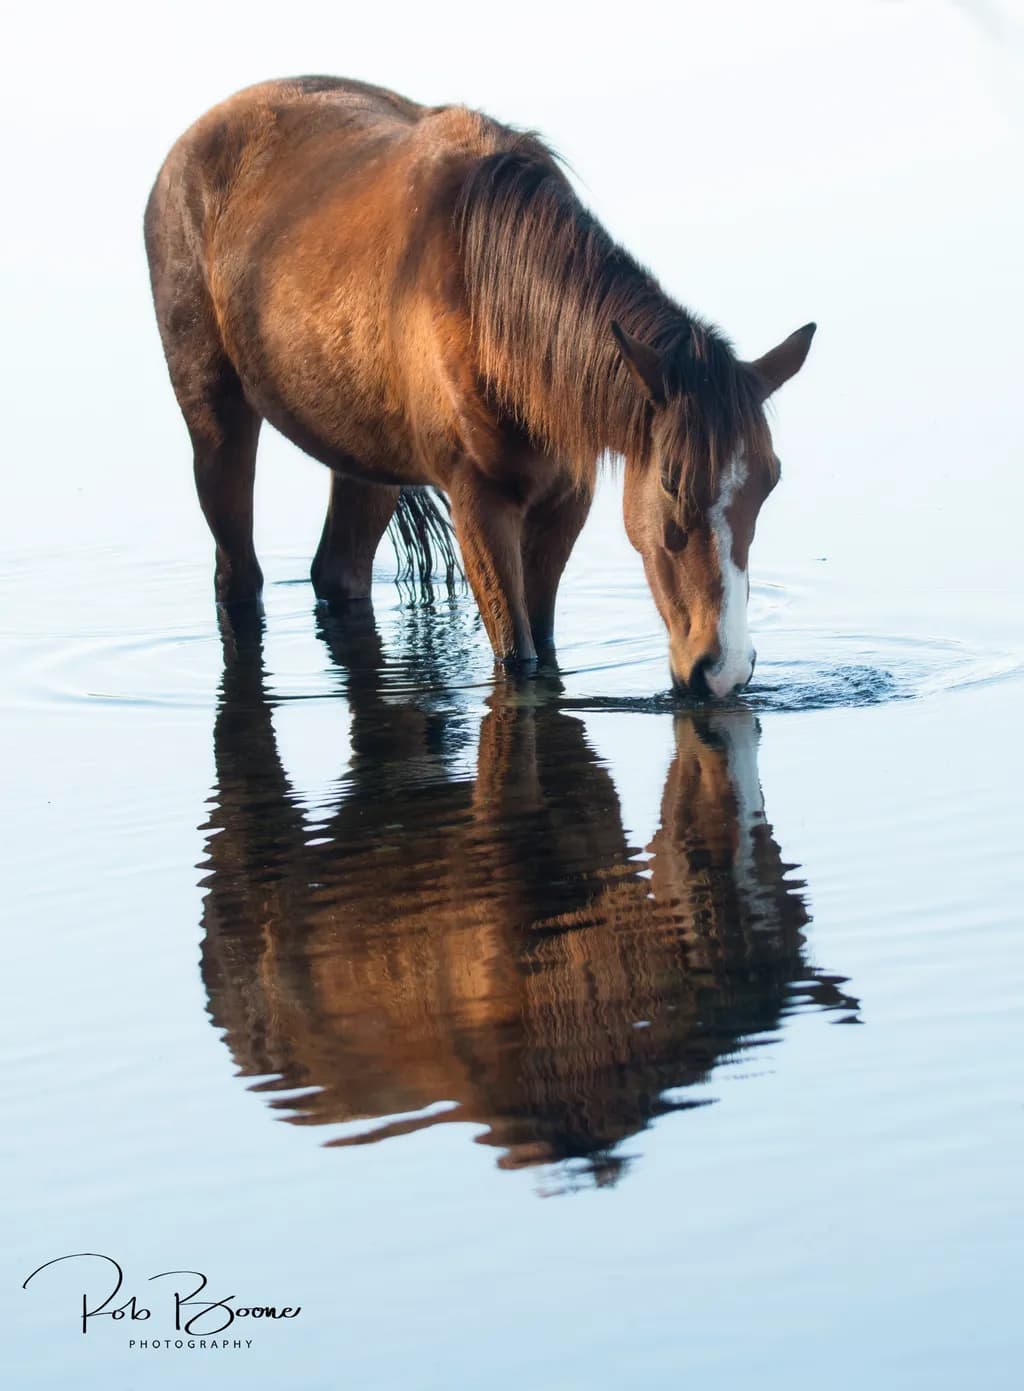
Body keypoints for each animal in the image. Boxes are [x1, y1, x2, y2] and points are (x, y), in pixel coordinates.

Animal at [145, 76, 815, 697]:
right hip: (218, 426)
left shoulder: (564, 503)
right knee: (237, 576)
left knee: (338, 571)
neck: (489, 308)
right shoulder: (479, 504)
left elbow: (543, 646)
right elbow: (518, 658)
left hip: (365, 461)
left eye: (770, 480)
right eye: (673, 482)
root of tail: (184, 152)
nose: (723, 670)